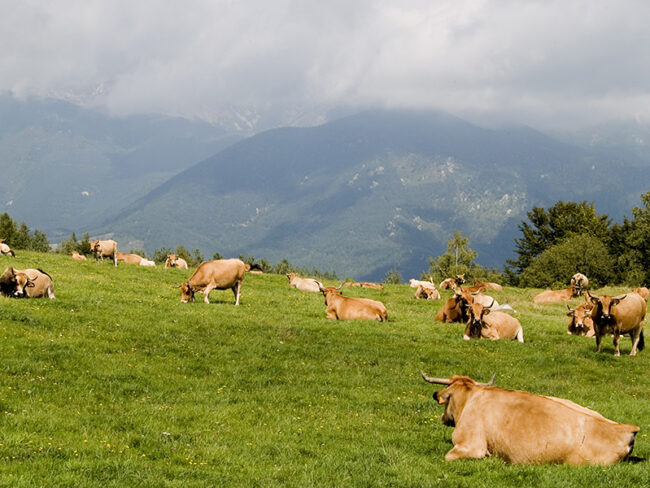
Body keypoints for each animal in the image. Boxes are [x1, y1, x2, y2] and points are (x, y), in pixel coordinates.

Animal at [420, 372, 640, 465]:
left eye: (446, 401)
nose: (443, 418)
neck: (470, 398)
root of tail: (626, 429)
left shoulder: (471, 446)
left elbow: (448, 456)